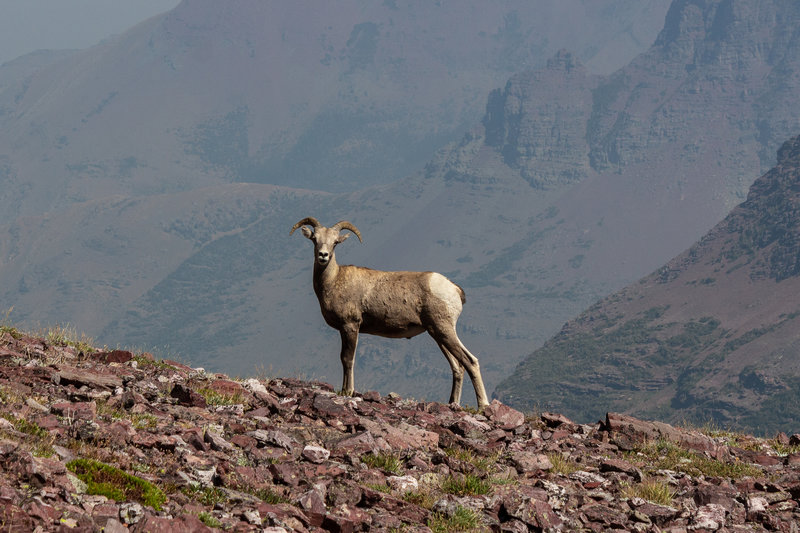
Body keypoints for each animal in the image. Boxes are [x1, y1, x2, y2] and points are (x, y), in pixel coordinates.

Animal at [290, 216, 490, 408]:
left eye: (335, 242)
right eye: (315, 239)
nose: (323, 256)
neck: (333, 281)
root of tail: (454, 289)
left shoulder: (350, 326)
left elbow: (347, 359)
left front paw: (347, 391)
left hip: (444, 330)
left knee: (470, 361)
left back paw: (483, 405)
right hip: (438, 334)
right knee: (458, 367)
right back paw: (452, 402)